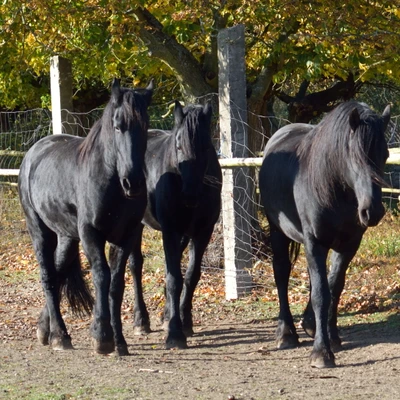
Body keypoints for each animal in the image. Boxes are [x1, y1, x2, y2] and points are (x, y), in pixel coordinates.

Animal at [18, 79, 153, 356]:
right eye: (118, 126)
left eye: (145, 126)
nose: (132, 183)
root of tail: (33, 152)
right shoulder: (91, 234)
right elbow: (101, 275)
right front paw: (102, 337)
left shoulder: (127, 235)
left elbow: (116, 283)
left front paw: (120, 341)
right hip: (39, 231)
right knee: (48, 277)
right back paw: (59, 336)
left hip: (66, 236)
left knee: (58, 272)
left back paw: (45, 329)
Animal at [125, 101, 222, 348]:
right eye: (178, 146)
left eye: (206, 147)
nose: (190, 194)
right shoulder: (170, 230)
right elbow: (173, 278)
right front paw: (175, 333)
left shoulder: (202, 232)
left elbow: (190, 275)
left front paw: (184, 321)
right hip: (136, 226)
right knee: (136, 266)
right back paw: (141, 321)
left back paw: (165, 314)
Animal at [260, 101, 390, 368]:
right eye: (354, 156)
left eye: (385, 155)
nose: (372, 211)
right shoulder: (314, 242)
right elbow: (321, 293)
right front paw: (321, 352)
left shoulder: (348, 245)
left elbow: (334, 287)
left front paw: (331, 336)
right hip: (278, 232)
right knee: (281, 273)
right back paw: (286, 334)